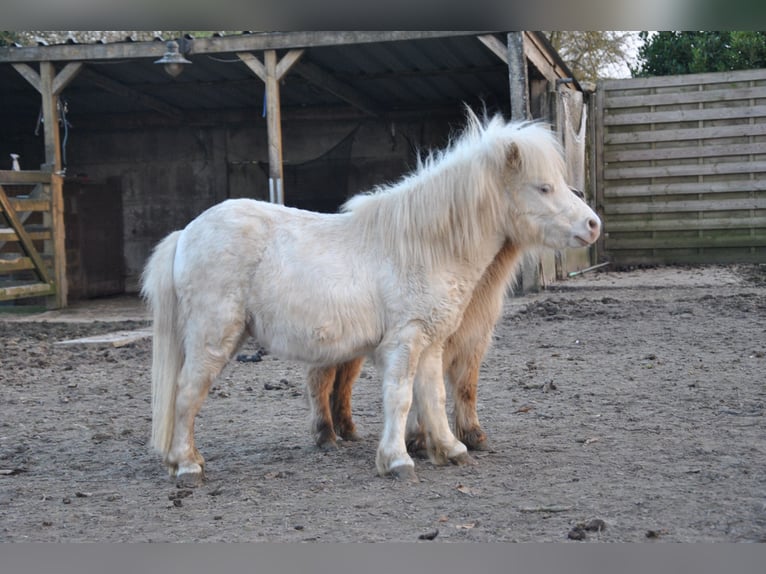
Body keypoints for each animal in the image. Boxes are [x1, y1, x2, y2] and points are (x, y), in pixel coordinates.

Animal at [141, 110, 601, 485]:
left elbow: (432, 396)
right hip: (214, 337)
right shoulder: (405, 340)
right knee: (187, 393)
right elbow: (400, 397)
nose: (592, 225)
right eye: (543, 188)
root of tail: (187, 232)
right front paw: (397, 461)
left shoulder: (431, 343)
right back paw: (187, 466)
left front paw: (451, 450)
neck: (425, 245)